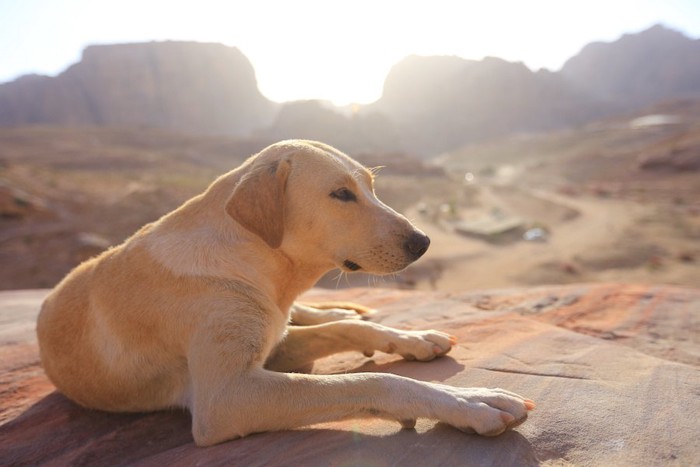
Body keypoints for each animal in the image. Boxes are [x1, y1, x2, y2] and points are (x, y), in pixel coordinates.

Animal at [35, 139, 532, 446]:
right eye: (341, 194)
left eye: (371, 186)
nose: (423, 242)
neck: (259, 263)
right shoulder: (228, 397)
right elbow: (370, 380)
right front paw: (469, 402)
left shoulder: (272, 346)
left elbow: (346, 336)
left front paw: (408, 338)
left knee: (325, 318)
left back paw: (369, 320)